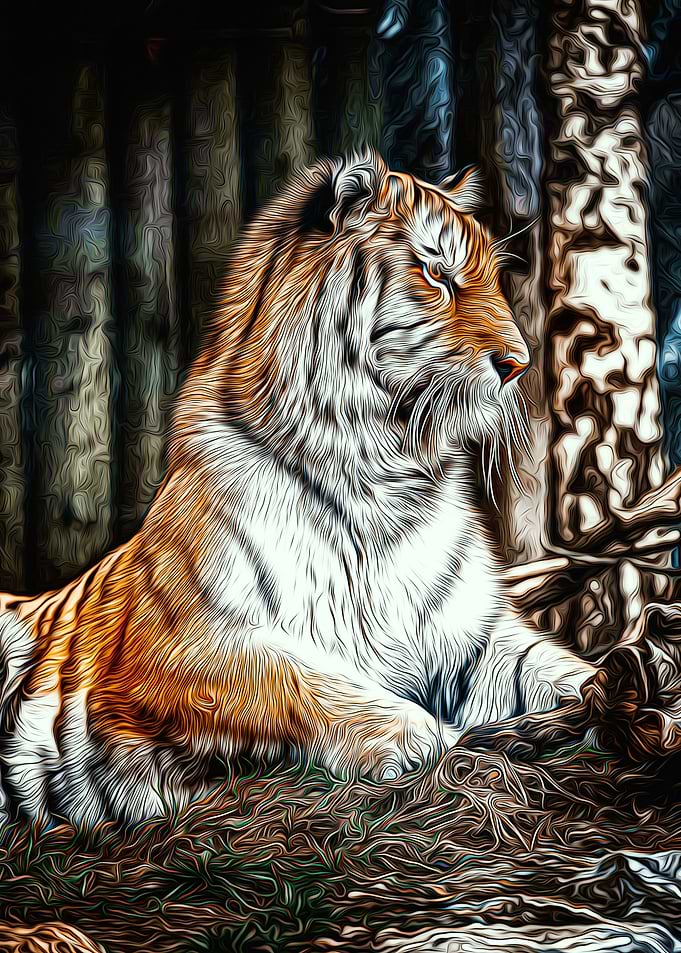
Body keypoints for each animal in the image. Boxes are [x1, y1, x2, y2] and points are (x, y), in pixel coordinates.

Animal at [0, 149, 595, 826]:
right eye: (434, 273)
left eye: (492, 278)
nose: (520, 363)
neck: (382, 479)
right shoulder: (180, 647)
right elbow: (298, 679)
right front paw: (418, 738)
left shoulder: (475, 635)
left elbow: (548, 662)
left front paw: (615, 688)